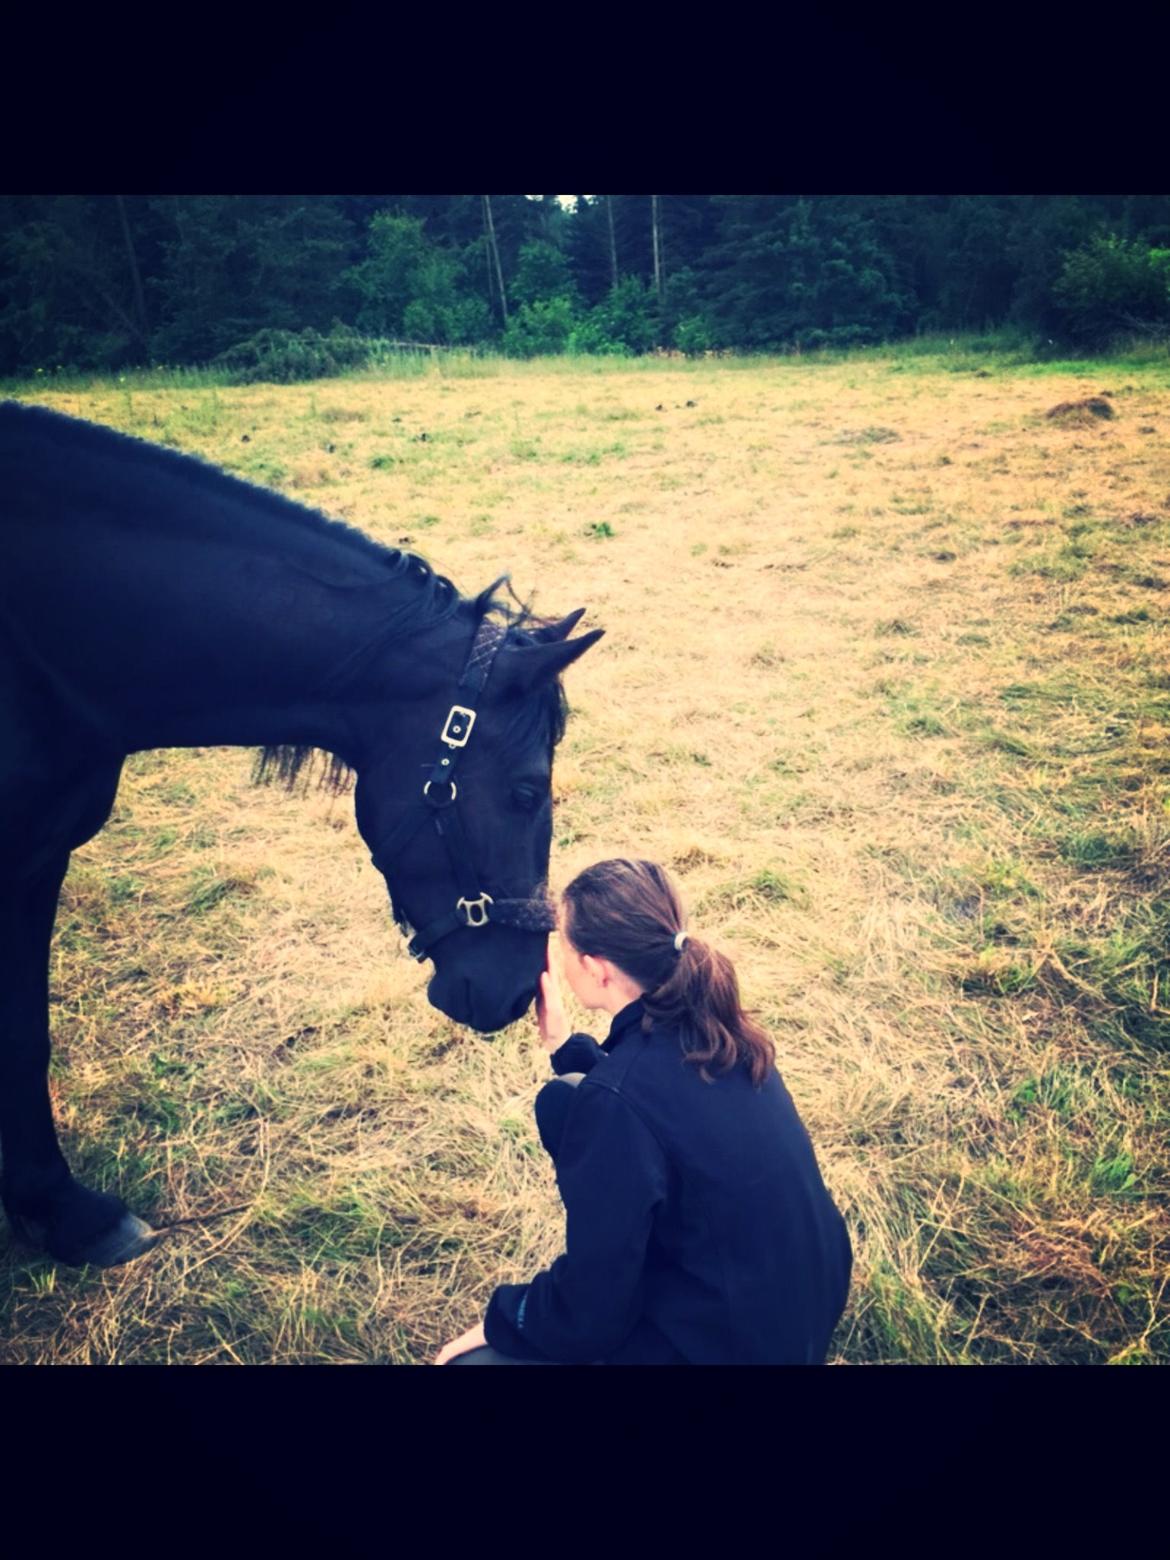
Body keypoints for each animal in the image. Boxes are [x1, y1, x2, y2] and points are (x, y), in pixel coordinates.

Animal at [0, 402, 605, 1266]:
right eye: (526, 791)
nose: (520, 991)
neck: (42, 644)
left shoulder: (36, 860)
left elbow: (26, 1036)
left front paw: (59, 1212)